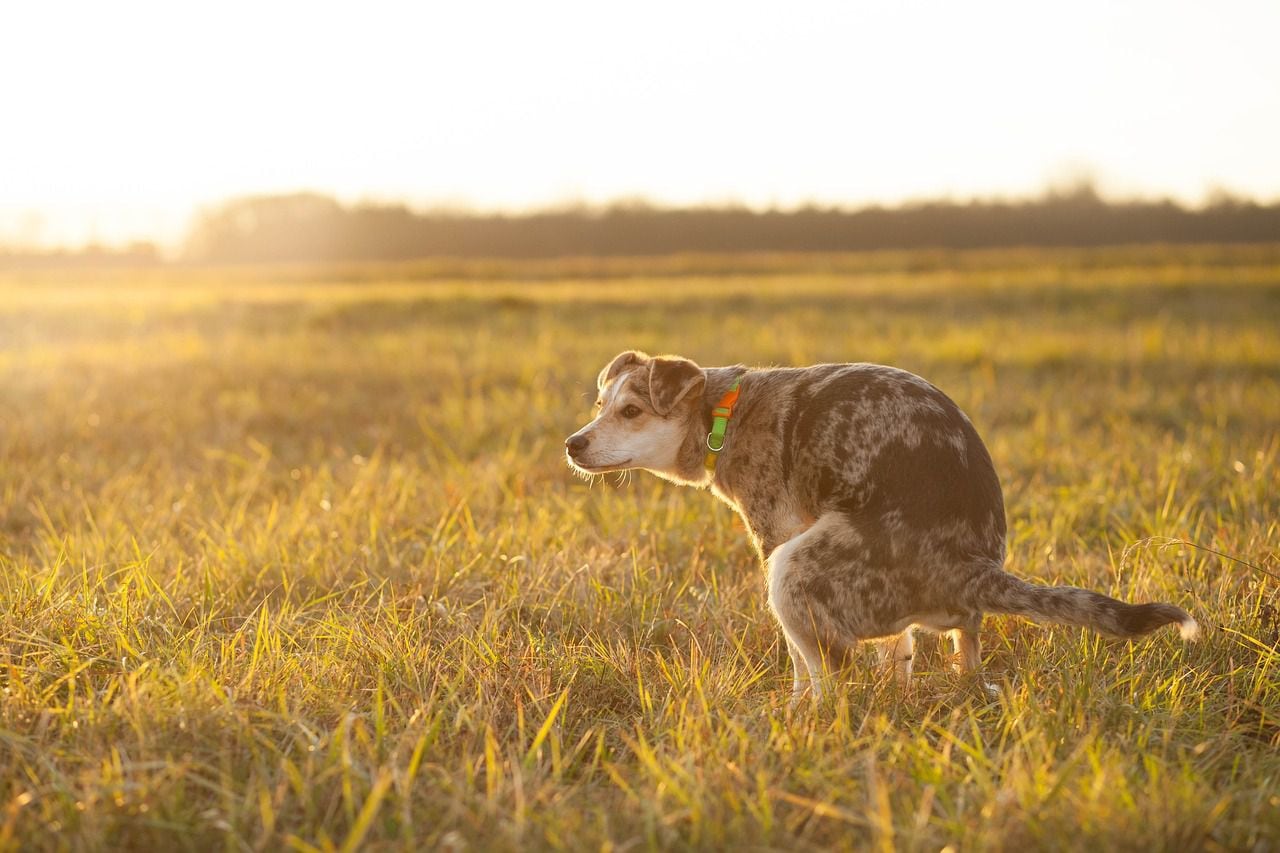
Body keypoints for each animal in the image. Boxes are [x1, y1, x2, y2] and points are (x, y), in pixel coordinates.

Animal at [565, 348, 1192, 701]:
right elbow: (900, 651)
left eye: (631, 411)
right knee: (960, 647)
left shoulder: (776, 535)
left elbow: (800, 661)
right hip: (940, 615)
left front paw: (795, 706)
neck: (724, 412)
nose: (572, 444)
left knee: (833, 676)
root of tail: (973, 567)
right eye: (599, 406)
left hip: (793, 569)